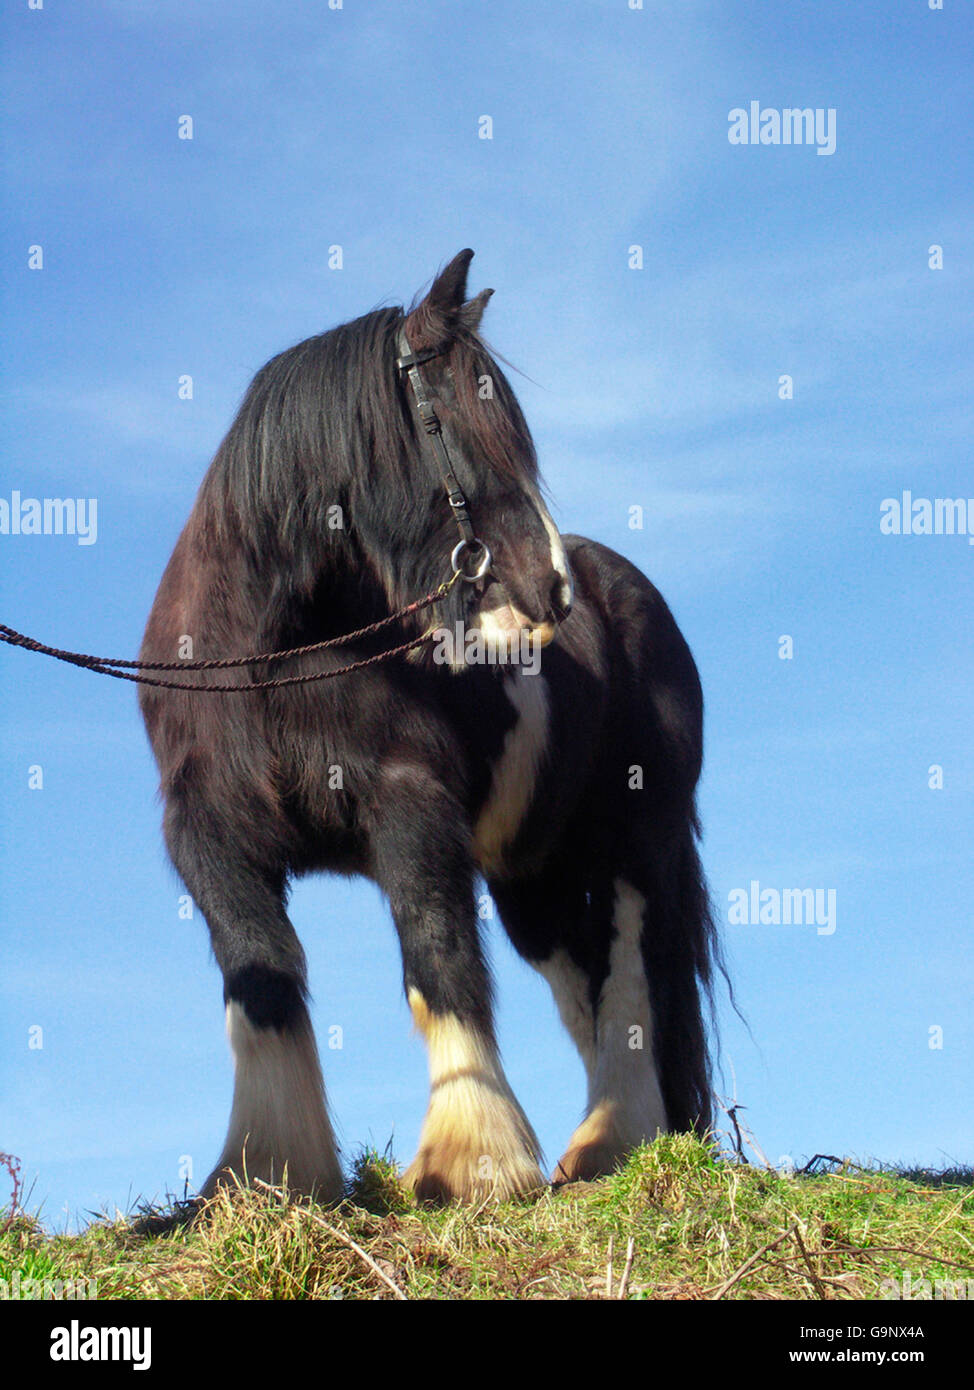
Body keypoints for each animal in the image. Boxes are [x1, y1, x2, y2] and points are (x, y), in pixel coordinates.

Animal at [136, 250, 716, 1206]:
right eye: (450, 419)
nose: (550, 589)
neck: (272, 655)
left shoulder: (409, 808)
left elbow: (438, 956)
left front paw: (471, 1158)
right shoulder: (211, 836)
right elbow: (262, 979)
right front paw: (267, 1171)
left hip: (639, 835)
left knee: (631, 968)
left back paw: (617, 1141)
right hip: (531, 872)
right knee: (582, 980)